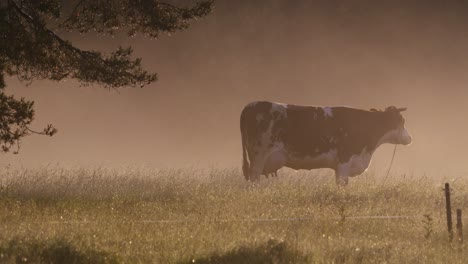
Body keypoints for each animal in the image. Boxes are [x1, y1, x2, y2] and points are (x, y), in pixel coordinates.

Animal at [239, 101, 412, 186]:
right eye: (402, 121)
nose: (409, 138)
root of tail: (251, 105)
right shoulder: (344, 161)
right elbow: (342, 185)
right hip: (258, 155)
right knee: (254, 178)